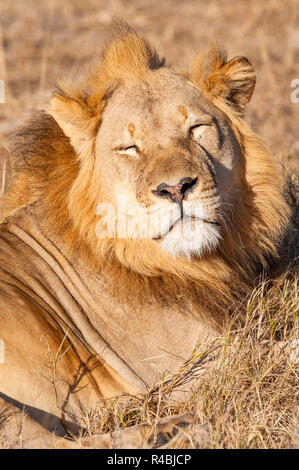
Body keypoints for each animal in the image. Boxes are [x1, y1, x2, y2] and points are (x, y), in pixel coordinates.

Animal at [0, 23, 292, 448]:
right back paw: (186, 428)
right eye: (129, 148)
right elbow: (283, 352)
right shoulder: (192, 367)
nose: (176, 188)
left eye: (197, 128)